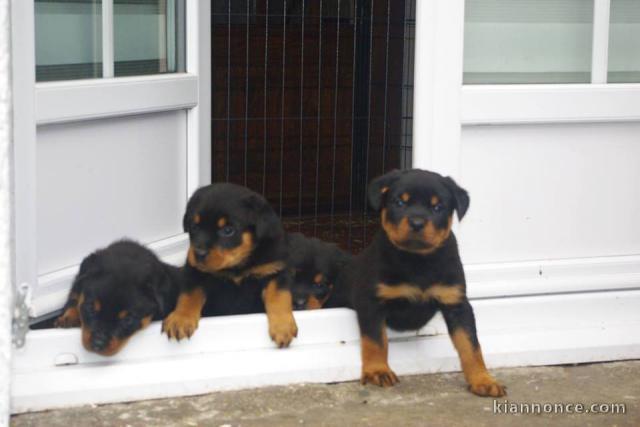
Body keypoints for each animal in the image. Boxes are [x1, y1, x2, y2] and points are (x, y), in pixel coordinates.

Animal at [162, 183, 298, 348]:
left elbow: (278, 297)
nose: (199, 253)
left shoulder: (275, 270)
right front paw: (180, 319)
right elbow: (189, 296)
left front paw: (283, 327)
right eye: (194, 227)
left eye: (228, 230)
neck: (237, 266)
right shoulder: (195, 274)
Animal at [344, 170, 504, 398]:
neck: (418, 260)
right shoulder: (371, 301)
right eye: (399, 202)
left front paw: (483, 379)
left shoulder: (457, 304)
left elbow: (471, 345)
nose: (417, 223)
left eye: (437, 207)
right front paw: (378, 370)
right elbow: (375, 340)